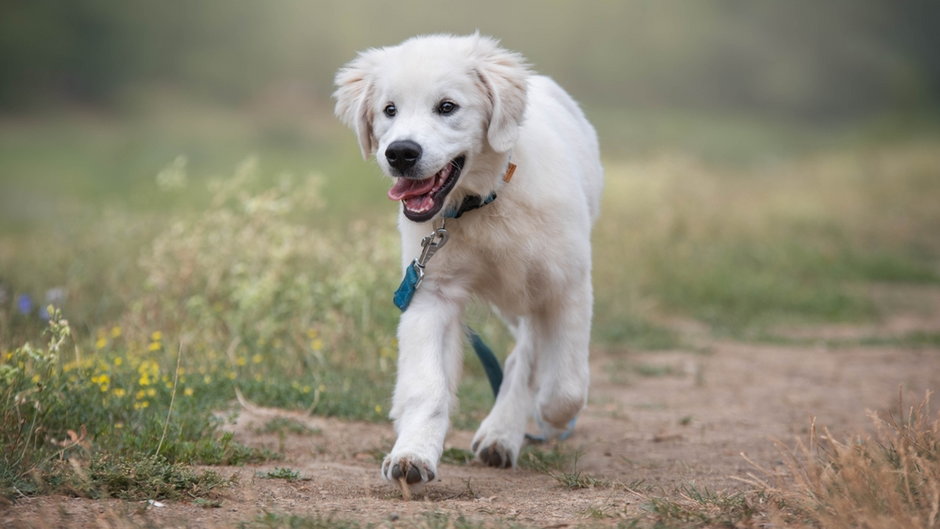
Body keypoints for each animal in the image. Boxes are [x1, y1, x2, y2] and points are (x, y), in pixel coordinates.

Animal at [334, 33, 604, 486]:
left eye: (447, 107)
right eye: (389, 110)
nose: (400, 153)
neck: (484, 202)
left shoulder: (566, 283)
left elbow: (565, 384)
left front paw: (550, 415)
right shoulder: (431, 291)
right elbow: (426, 385)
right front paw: (413, 454)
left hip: (531, 291)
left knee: (529, 355)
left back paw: (505, 431)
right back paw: (500, 435)